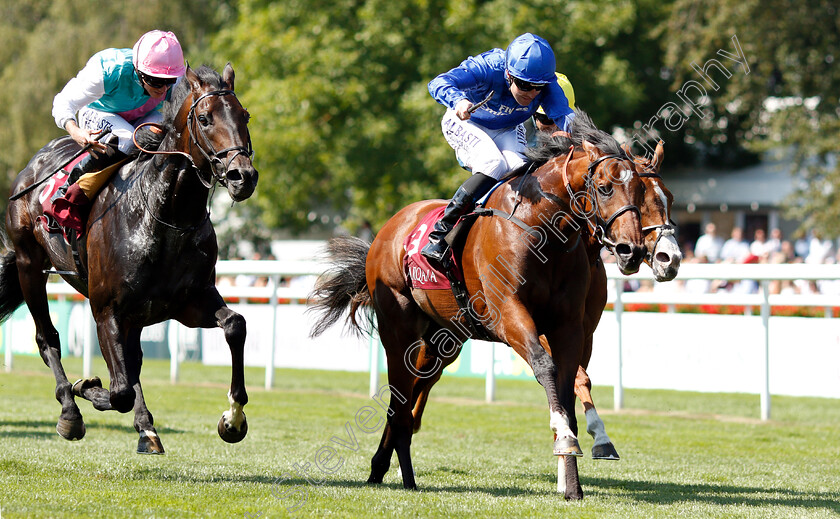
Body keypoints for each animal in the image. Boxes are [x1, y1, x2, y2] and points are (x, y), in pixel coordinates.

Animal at [0, 64, 256, 456]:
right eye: (204, 118)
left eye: (244, 115)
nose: (243, 176)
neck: (164, 216)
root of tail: (31, 166)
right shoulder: (106, 310)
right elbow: (118, 389)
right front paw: (86, 386)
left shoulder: (189, 302)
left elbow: (235, 325)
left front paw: (233, 419)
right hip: (30, 265)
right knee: (48, 339)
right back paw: (71, 411)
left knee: (131, 361)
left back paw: (146, 428)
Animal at [312, 112, 648, 500]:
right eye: (605, 187)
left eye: (642, 190)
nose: (631, 250)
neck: (542, 228)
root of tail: (387, 230)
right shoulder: (509, 314)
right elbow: (546, 367)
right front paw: (565, 440)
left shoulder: (570, 326)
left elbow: (568, 385)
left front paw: (573, 482)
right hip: (398, 330)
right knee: (399, 402)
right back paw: (403, 476)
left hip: (442, 339)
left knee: (412, 394)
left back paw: (384, 468)